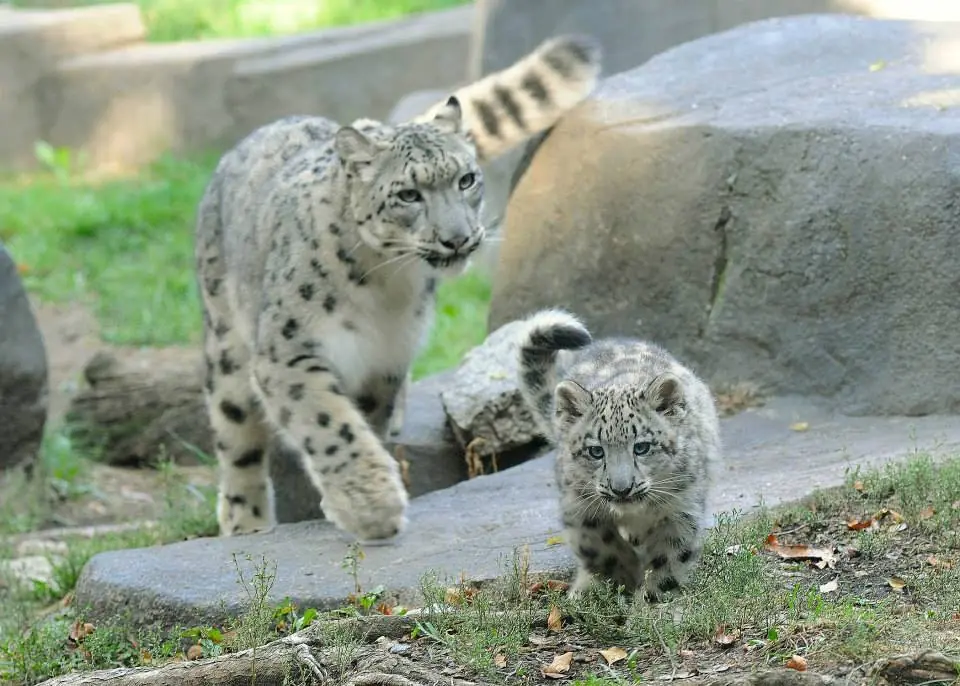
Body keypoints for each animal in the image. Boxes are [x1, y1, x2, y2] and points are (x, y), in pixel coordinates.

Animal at [194, 35, 602, 543]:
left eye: (466, 179)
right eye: (409, 194)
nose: (458, 237)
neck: (382, 286)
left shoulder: (385, 359)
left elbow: (361, 420)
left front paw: (357, 494)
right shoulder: (288, 350)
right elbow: (328, 421)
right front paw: (373, 505)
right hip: (227, 342)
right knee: (236, 435)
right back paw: (244, 520)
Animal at [515, 308, 721, 600]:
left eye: (642, 447)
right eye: (595, 451)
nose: (621, 488)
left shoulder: (681, 507)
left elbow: (669, 557)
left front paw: (652, 600)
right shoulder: (579, 506)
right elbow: (600, 547)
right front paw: (624, 575)